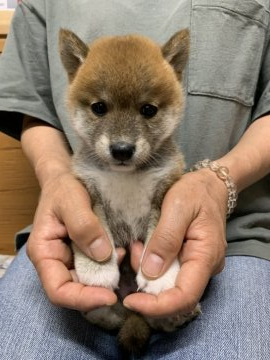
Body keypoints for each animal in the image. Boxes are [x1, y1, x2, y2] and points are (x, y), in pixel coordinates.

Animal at [59, 27, 199, 352]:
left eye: (148, 110)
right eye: (99, 108)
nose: (122, 149)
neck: (125, 178)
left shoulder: (163, 193)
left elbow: (157, 238)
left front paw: (160, 276)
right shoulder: (90, 193)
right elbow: (97, 237)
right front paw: (97, 271)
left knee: (152, 320)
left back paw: (178, 315)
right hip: (111, 309)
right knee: (111, 317)